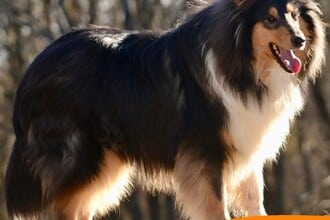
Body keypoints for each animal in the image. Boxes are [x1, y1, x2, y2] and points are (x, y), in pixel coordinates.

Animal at [3, 0, 326, 220]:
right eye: (270, 19)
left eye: (294, 15)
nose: (300, 40)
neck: (241, 63)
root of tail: (31, 71)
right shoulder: (205, 153)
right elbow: (216, 206)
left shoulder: (244, 147)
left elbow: (255, 202)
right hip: (79, 157)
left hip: (104, 163)